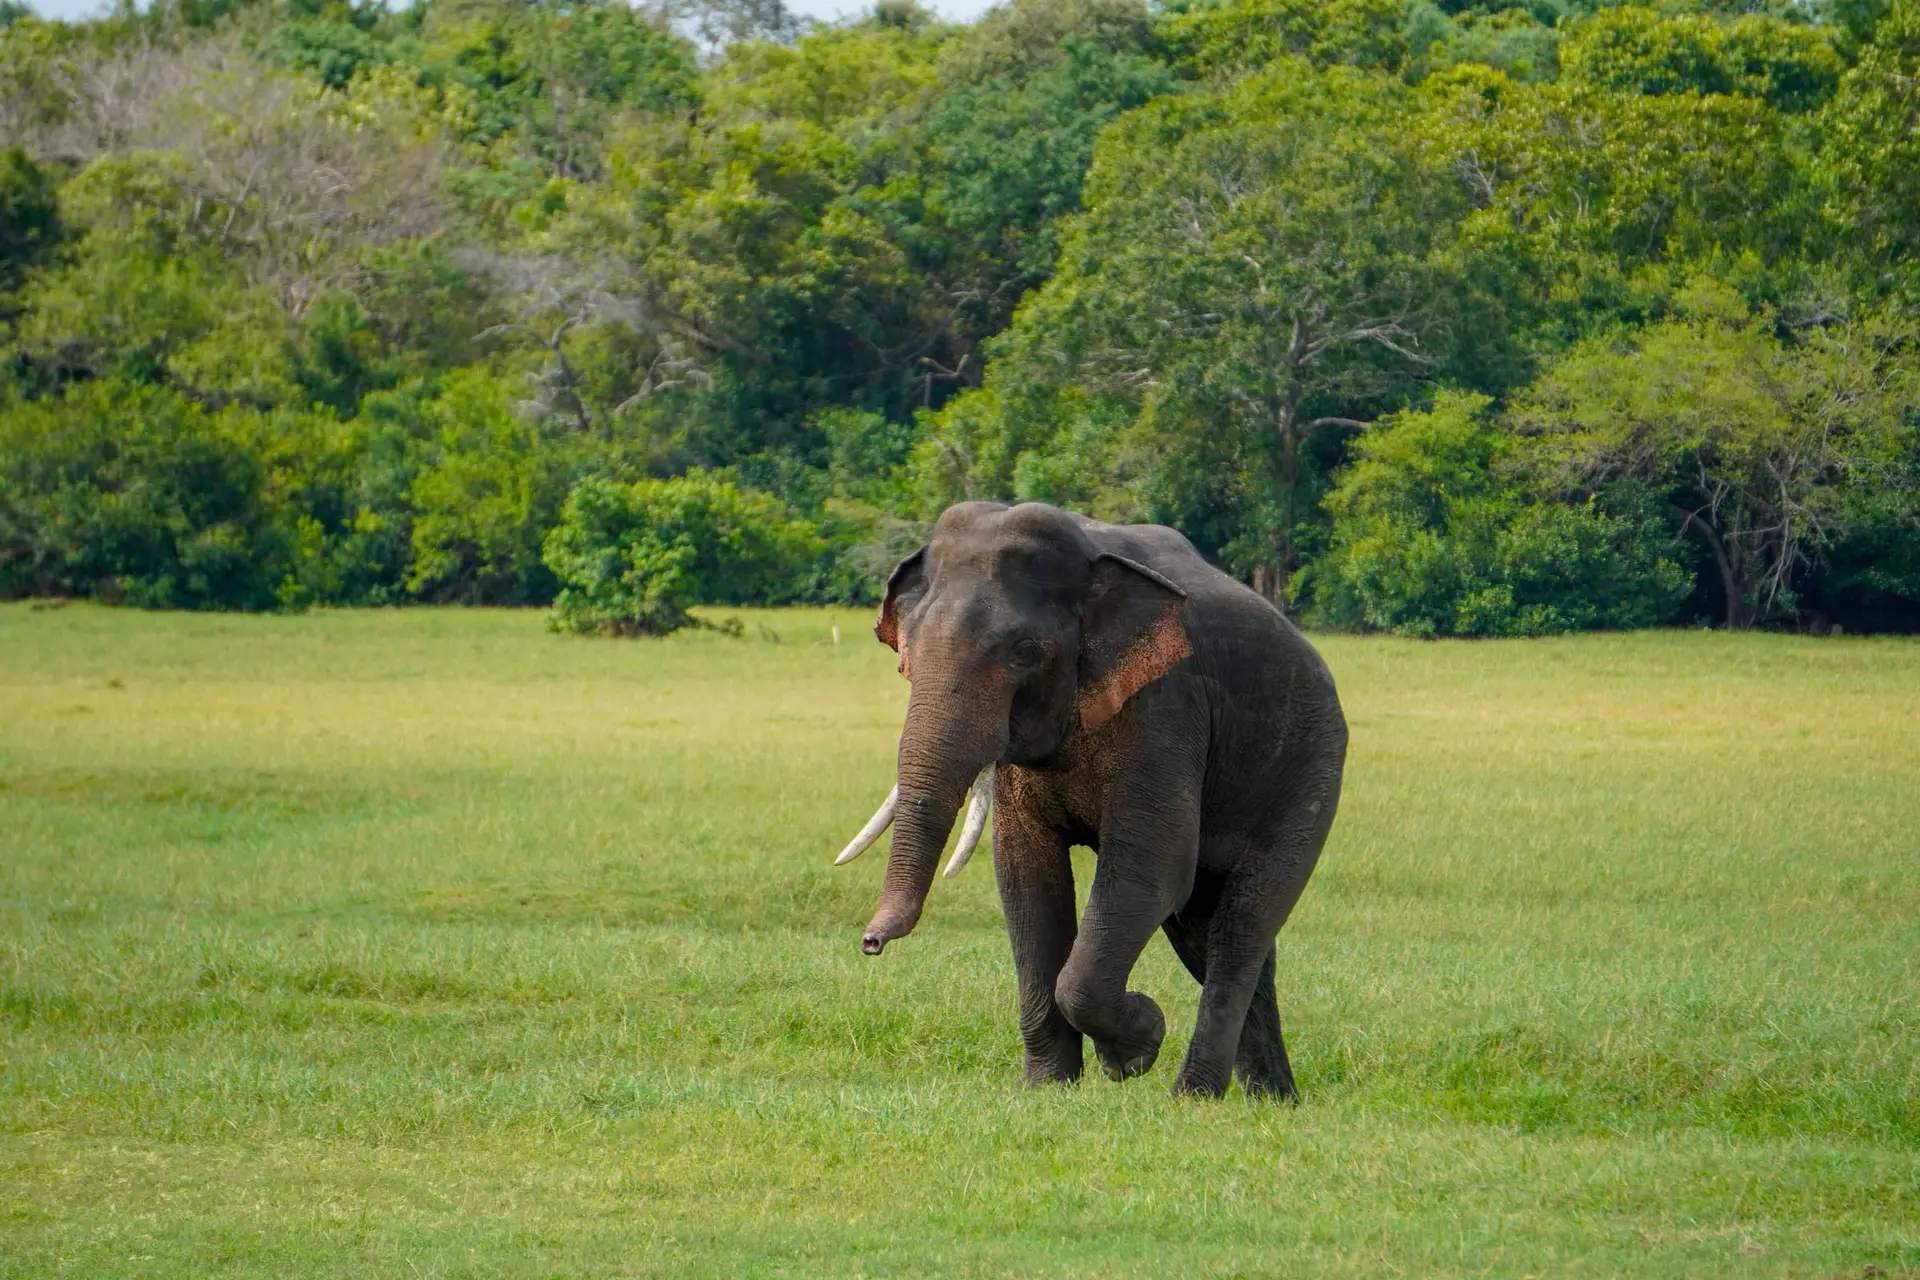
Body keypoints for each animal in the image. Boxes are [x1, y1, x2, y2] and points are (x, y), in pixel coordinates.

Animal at [834, 500, 1348, 1099]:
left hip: (1309, 770)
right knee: (1207, 934)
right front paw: (1047, 1089)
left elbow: (1154, 869)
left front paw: (1134, 1050)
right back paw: (1271, 1101)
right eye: (908, 647)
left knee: (1240, 927)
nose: (871, 943)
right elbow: (1025, 875)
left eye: (1024, 652)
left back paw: (1194, 1098)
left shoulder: (1165, 705)